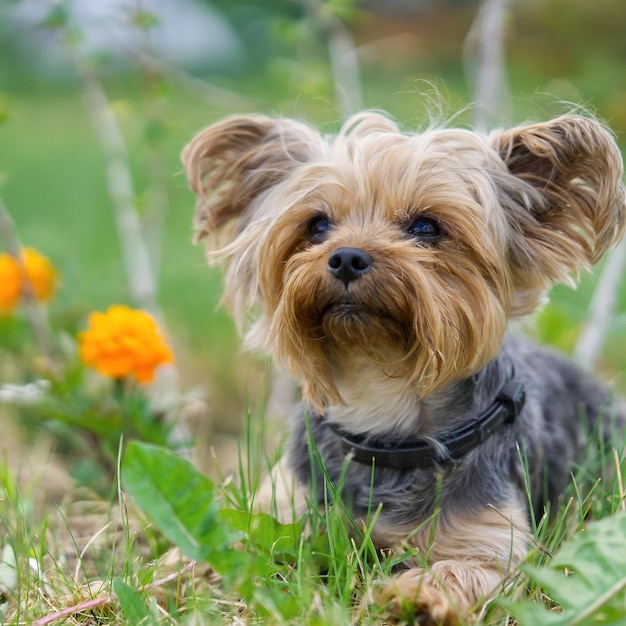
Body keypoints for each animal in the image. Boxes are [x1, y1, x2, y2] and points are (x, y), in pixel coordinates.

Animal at [180, 109, 624, 620]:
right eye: (317, 225)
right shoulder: (284, 509)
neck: (382, 401)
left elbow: (476, 571)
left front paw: (419, 594)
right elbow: (231, 547)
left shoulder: (492, 538)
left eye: (427, 227)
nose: (346, 257)